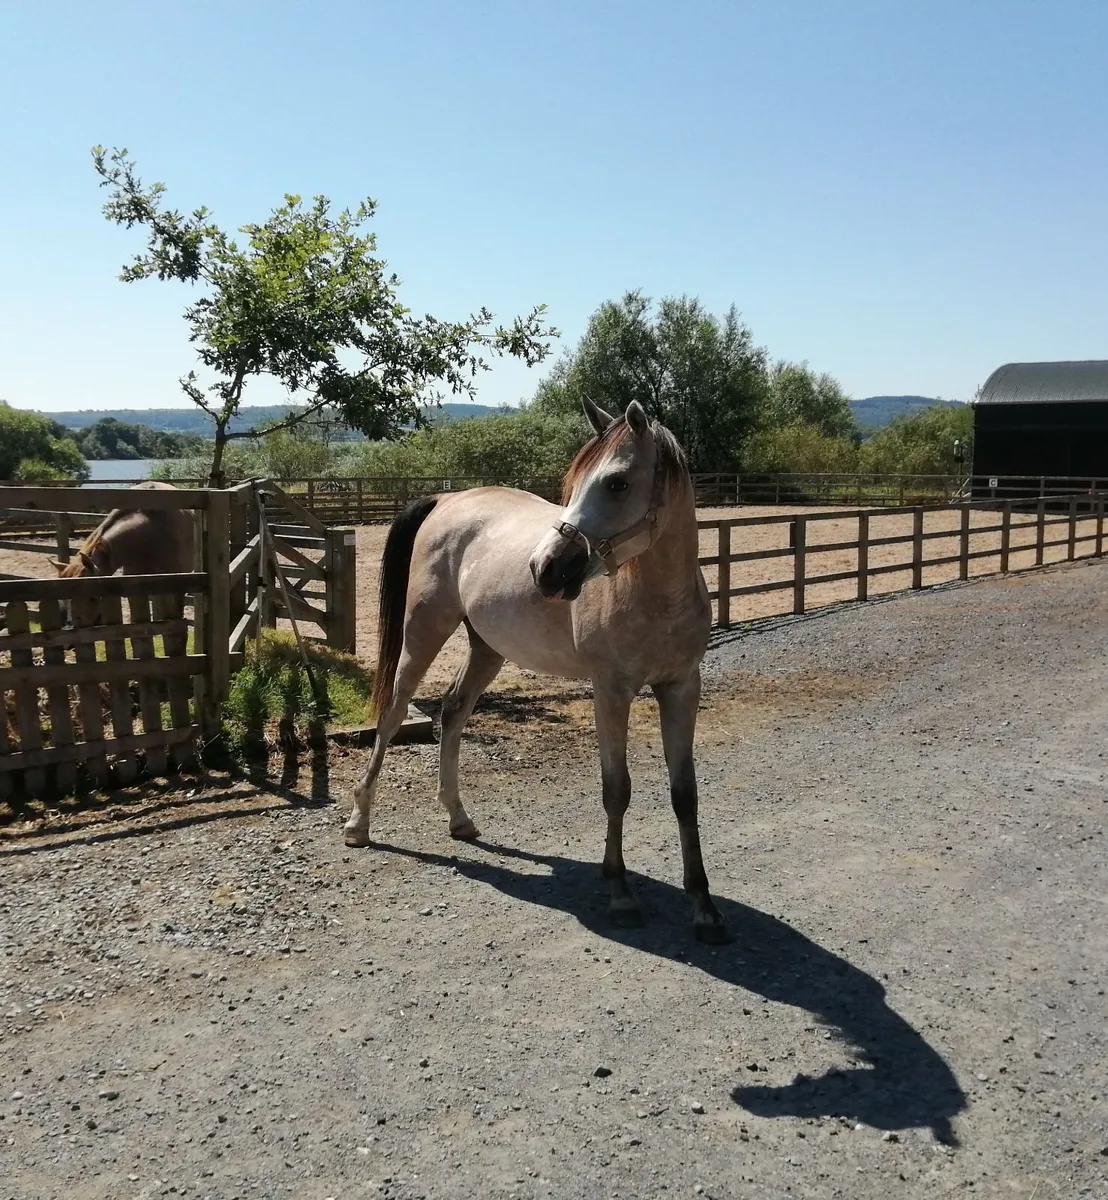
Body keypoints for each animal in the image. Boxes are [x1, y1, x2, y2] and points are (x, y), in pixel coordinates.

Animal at [344, 398, 729, 942]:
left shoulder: (681, 688)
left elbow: (685, 795)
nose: (545, 568)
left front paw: (703, 907)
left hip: (487, 648)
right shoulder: (611, 692)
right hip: (422, 635)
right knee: (394, 716)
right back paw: (359, 822)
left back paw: (458, 817)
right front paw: (620, 893)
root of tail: (447, 501)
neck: (654, 596)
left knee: (454, 712)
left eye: (616, 483)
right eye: (575, 481)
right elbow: (617, 790)